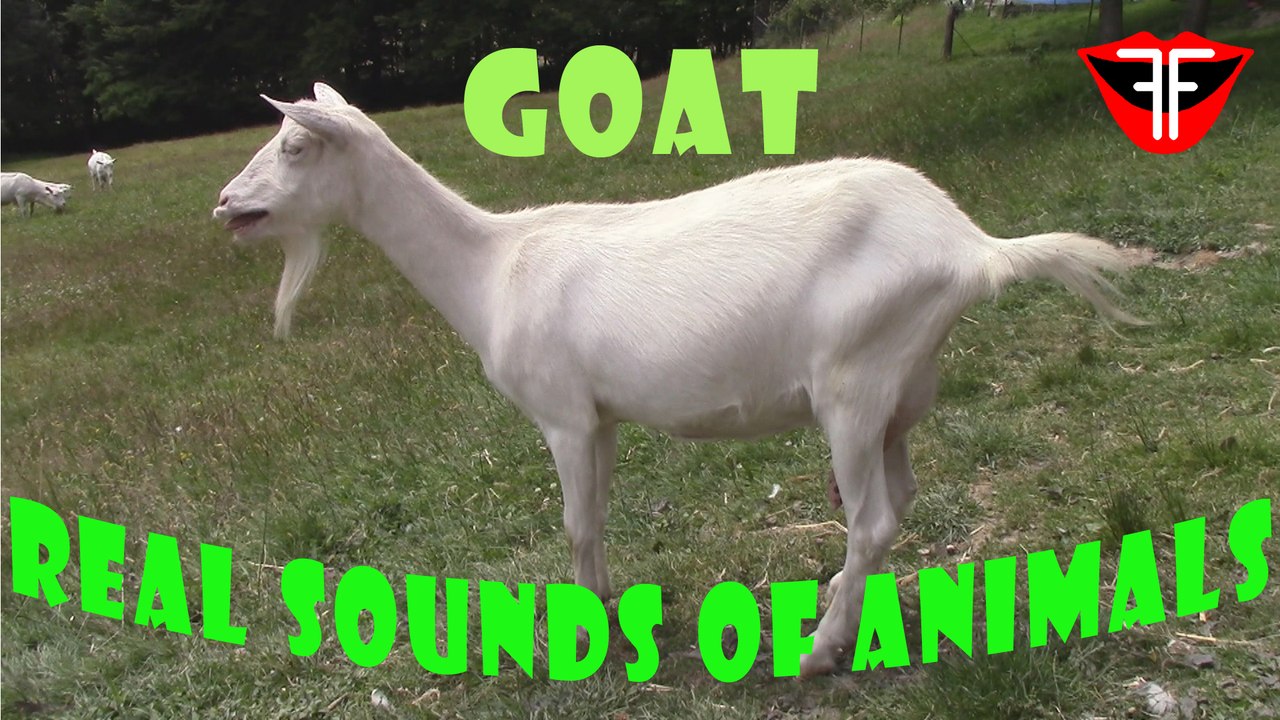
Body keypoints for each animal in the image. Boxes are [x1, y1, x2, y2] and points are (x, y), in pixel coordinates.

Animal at [214, 83, 1139, 676]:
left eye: (293, 145)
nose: (226, 204)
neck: (491, 266)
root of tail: (971, 246)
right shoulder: (601, 415)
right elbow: (597, 517)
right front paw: (608, 622)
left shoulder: (562, 412)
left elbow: (576, 524)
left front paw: (588, 644)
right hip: (903, 389)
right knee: (899, 498)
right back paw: (845, 610)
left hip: (853, 380)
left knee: (873, 517)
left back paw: (817, 650)